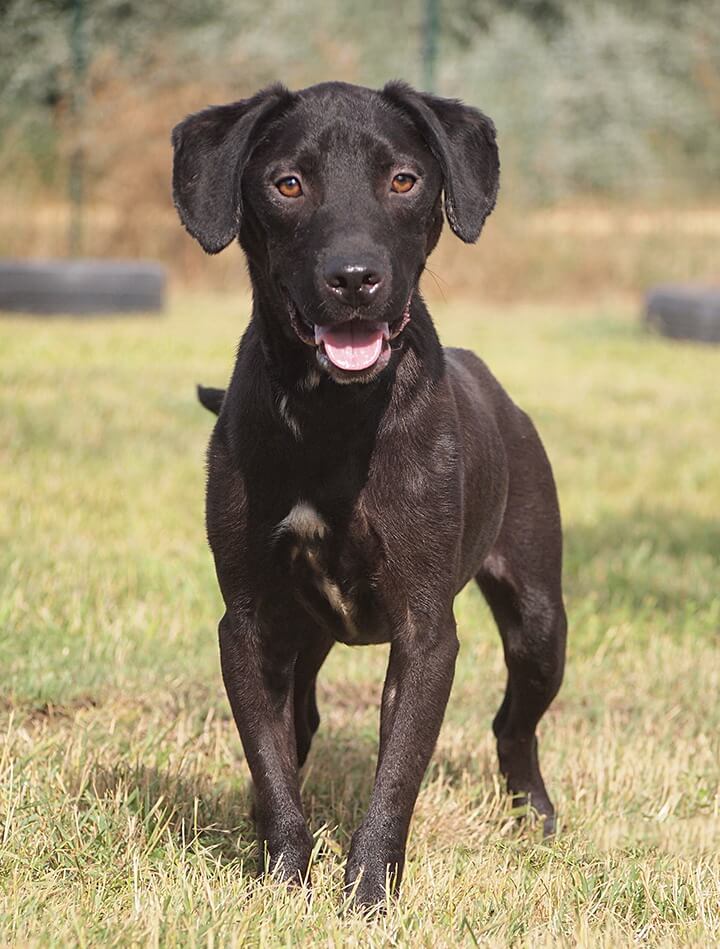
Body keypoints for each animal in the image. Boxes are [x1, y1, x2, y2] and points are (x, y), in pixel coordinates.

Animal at [172, 80, 567, 908]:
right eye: (288, 183)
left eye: (404, 180)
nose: (354, 278)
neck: (333, 414)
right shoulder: (249, 623)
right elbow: (272, 766)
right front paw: (284, 880)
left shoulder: (425, 629)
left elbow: (398, 775)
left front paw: (367, 895)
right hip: (306, 637)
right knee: (299, 728)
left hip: (540, 622)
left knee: (513, 725)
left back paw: (536, 817)